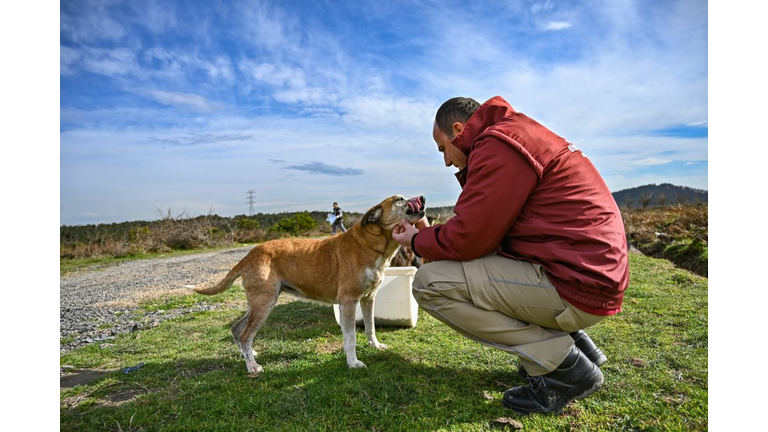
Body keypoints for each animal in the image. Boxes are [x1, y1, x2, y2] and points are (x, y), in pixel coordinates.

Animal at [188, 194, 426, 376]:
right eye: (399, 199)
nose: (422, 198)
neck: (371, 243)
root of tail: (250, 254)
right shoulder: (348, 302)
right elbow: (350, 337)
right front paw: (353, 363)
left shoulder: (368, 299)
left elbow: (370, 327)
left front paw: (375, 346)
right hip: (265, 303)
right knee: (246, 334)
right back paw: (252, 367)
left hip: (259, 302)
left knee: (237, 329)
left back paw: (249, 355)